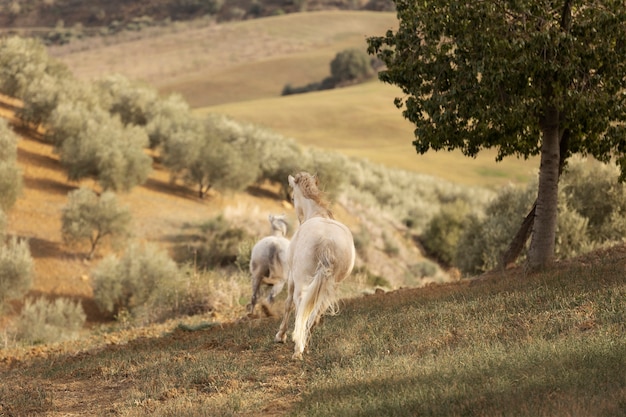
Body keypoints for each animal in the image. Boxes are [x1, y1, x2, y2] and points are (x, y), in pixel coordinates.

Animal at [274, 172, 356, 358]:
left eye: (292, 197)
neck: (318, 214)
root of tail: (327, 242)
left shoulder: (291, 277)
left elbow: (288, 304)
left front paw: (281, 335)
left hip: (302, 281)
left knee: (300, 304)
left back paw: (298, 347)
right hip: (331, 286)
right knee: (316, 311)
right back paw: (304, 343)